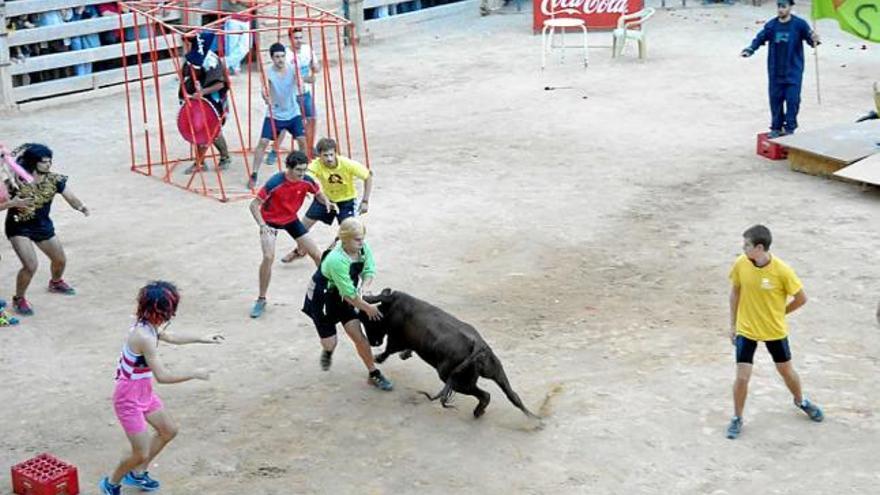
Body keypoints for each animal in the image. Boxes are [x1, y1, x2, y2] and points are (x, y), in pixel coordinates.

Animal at [360, 288, 540, 420]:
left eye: (369, 323)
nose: (373, 343)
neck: (392, 308)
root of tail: (478, 345)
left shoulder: (397, 339)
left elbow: (389, 349)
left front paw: (379, 357)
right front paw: (404, 354)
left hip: (453, 378)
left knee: (485, 395)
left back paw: (478, 412)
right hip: (495, 371)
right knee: (512, 395)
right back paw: (535, 420)